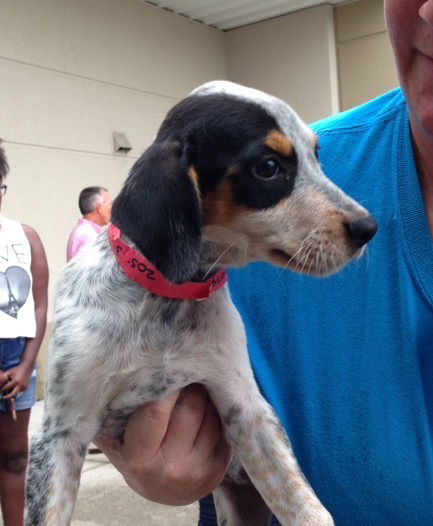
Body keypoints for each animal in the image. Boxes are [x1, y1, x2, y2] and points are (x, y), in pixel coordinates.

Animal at [25, 82, 374, 526]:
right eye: (268, 167)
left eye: (317, 155)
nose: (369, 228)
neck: (168, 299)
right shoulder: (61, 433)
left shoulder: (247, 408)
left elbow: (307, 509)